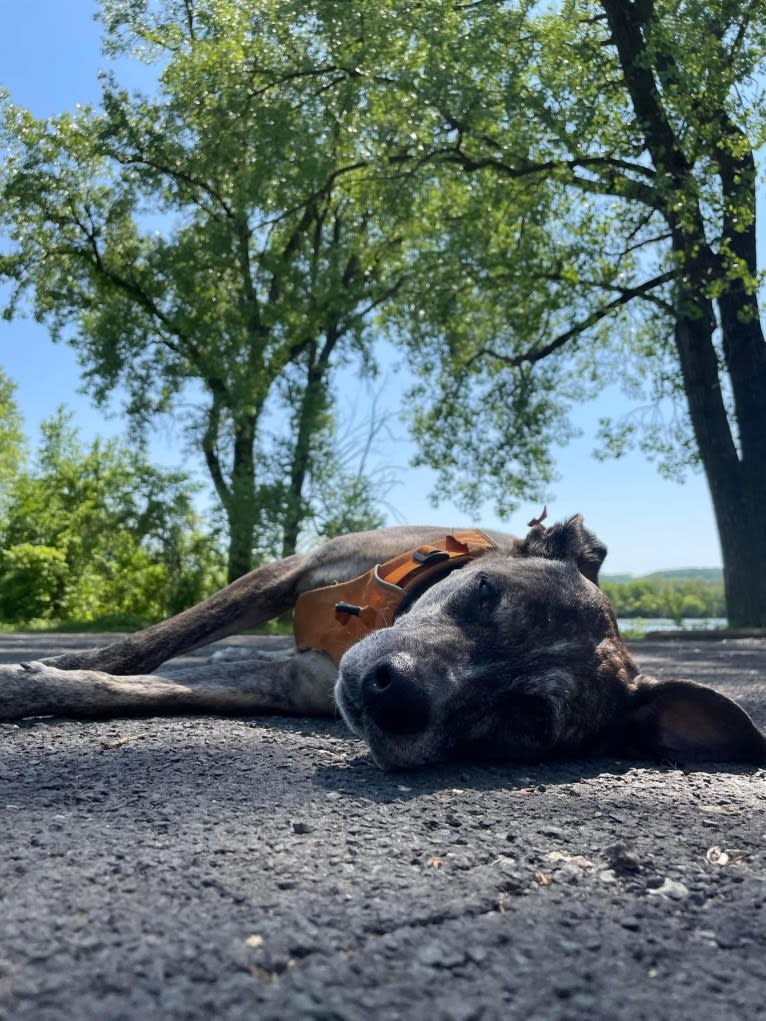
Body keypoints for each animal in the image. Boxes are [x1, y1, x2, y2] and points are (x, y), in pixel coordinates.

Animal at [1, 518, 766, 767]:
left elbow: (140, 691)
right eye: (484, 593)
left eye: (528, 718)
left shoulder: (282, 687)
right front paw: (63, 663)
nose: (391, 693)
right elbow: (151, 645)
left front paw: (36, 684)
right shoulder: (287, 573)